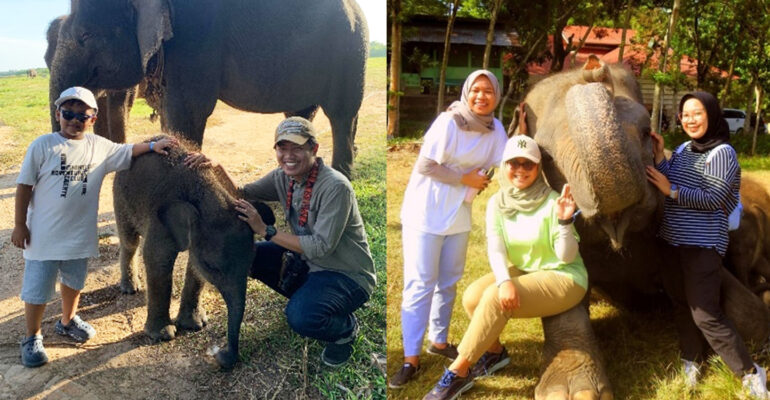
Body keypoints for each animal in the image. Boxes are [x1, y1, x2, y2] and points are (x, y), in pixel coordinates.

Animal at [49, 0, 368, 178]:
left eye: (85, 35)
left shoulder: (195, 36)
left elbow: (187, 111)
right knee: (300, 115)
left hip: (351, 49)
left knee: (342, 114)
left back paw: (344, 176)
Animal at [112, 138, 272, 368]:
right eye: (212, 267)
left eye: (252, 261)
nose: (221, 355)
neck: (205, 195)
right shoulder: (160, 221)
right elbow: (156, 259)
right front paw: (163, 335)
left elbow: (193, 267)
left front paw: (195, 325)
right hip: (121, 194)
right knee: (130, 241)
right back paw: (130, 288)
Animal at [516, 56, 768, 400]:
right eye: (546, 156)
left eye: (649, 131)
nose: (593, 65)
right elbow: (559, 290)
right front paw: (573, 392)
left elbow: (745, 310)